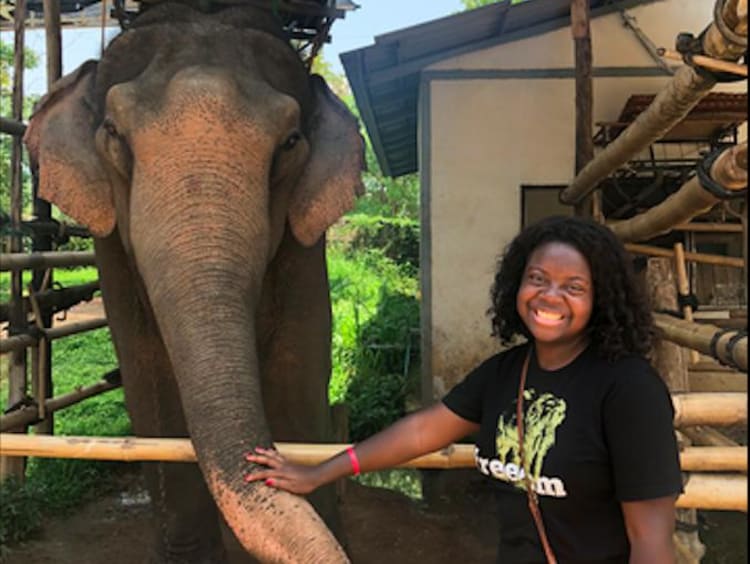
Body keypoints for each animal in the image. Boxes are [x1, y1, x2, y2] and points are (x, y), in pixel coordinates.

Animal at [27, 2, 368, 560]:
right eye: (113, 133)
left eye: (290, 143)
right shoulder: (111, 246)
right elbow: (150, 383)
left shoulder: (305, 247)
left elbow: (296, 373)